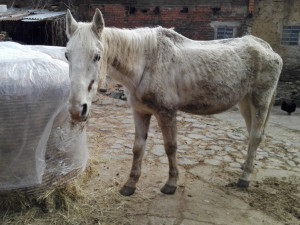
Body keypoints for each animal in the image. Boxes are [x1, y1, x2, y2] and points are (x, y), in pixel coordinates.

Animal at [64, 9, 282, 195]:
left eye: (97, 56)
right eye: (67, 55)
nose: (77, 109)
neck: (147, 62)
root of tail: (268, 49)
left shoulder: (166, 112)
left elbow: (170, 147)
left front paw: (171, 184)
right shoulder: (140, 112)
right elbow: (138, 148)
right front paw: (130, 184)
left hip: (260, 102)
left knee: (255, 137)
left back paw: (245, 178)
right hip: (245, 103)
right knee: (252, 134)